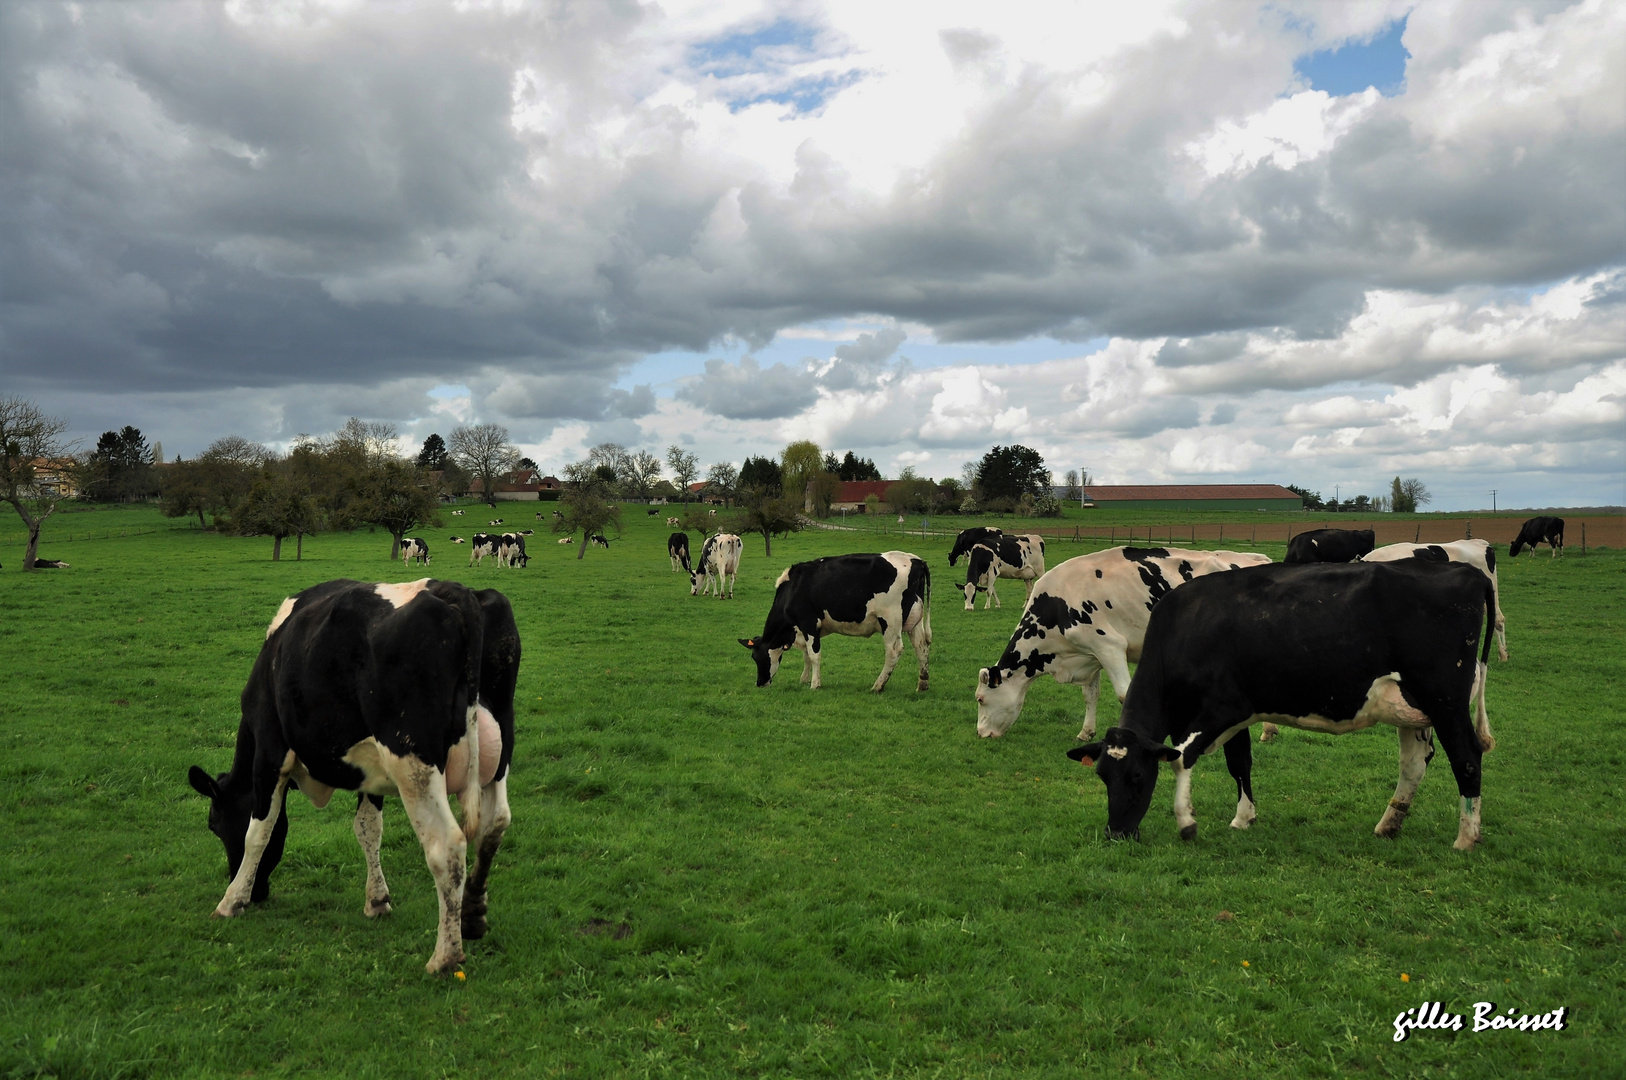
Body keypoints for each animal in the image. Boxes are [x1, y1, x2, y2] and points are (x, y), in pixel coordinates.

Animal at [189, 579, 520, 975]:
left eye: (215, 826)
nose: (260, 893)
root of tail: (453, 590)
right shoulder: (370, 773)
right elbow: (368, 829)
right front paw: (377, 901)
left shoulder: (270, 752)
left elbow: (259, 831)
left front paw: (232, 900)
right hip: (498, 751)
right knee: (496, 823)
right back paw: (473, 917)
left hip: (412, 760)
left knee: (447, 845)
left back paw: (445, 957)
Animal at [738, 553, 930, 696]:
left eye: (756, 657)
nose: (760, 683)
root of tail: (916, 560)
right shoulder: (808, 629)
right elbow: (806, 655)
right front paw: (804, 679)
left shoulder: (808, 623)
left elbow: (814, 655)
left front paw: (814, 684)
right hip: (914, 621)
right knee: (922, 647)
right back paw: (922, 685)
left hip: (890, 621)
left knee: (894, 651)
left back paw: (878, 686)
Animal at [969, 549, 1274, 741]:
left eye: (980, 699)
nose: (981, 733)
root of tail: (1255, 558)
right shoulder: (1091, 655)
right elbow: (1090, 695)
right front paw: (1086, 732)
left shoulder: (1109, 646)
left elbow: (1124, 694)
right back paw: (1268, 730)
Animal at [1066, 556, 1495, 852]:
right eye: (1102, 775)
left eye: (1137, 776)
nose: (1117, 833)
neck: (1185, 629)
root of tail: (1465, 570)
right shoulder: (1236, 716)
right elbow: (1239, 764)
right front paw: (1243, 818)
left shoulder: (1223, 710)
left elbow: (1183, 758)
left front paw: (1186, 822)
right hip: (1412, 709)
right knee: (1414, 763)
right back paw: (1389, 825)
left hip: (1445, 700)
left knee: (1467, 757)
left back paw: (1466, 838)